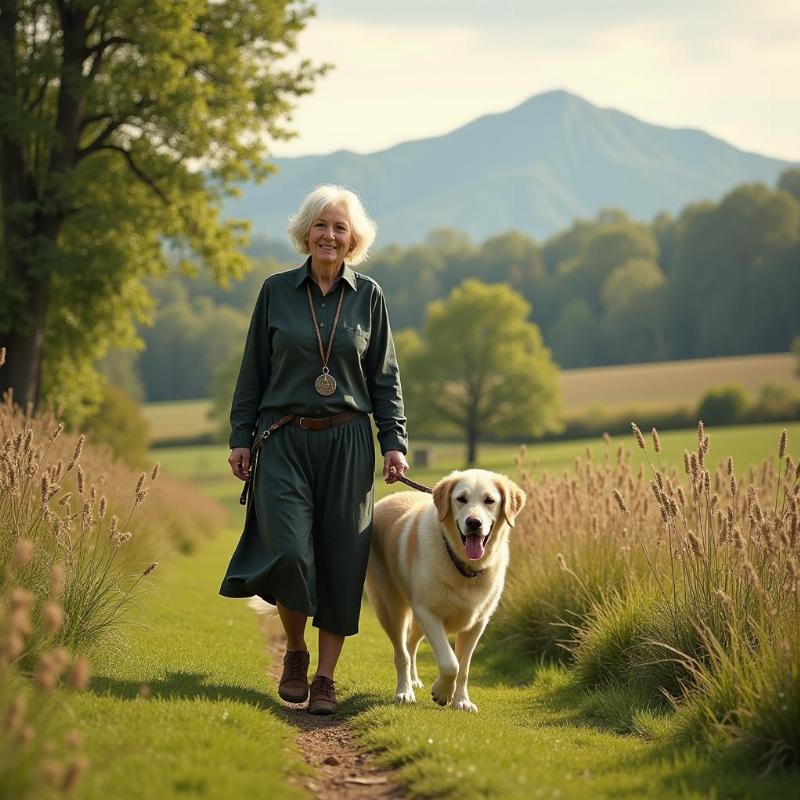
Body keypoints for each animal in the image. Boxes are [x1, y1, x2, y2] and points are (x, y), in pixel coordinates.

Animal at [366, 468, 528, 712]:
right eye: (461, 499)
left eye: (489, 500)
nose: (474, 523)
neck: (465, 568)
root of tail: (386, 499)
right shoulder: (428, 612)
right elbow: (450, 663)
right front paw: (442, 693)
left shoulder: (477, 623)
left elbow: (464, 668)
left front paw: (461, 701)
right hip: (391, 608)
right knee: (401, 652)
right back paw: (405, 691)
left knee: (411, 643)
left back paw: (414, 681)